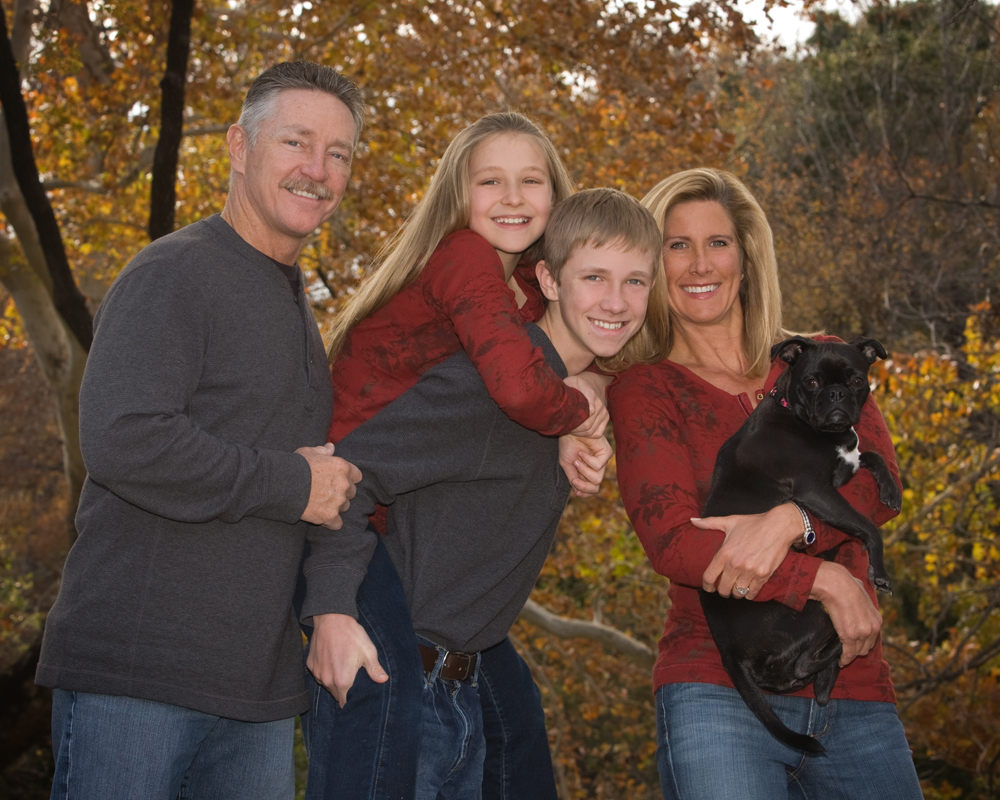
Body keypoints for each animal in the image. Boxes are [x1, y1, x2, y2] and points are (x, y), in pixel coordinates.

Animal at [698, 336, 901, 754]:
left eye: (857, 380)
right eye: (811, 382)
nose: (836, 394)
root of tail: (729, 653)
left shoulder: (844, 468)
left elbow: (870, 455)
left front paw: (890, 488)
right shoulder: (817, 491)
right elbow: (868, 526)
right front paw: (880, 569)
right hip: (815, 609)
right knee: (808, 662)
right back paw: (841, 651)